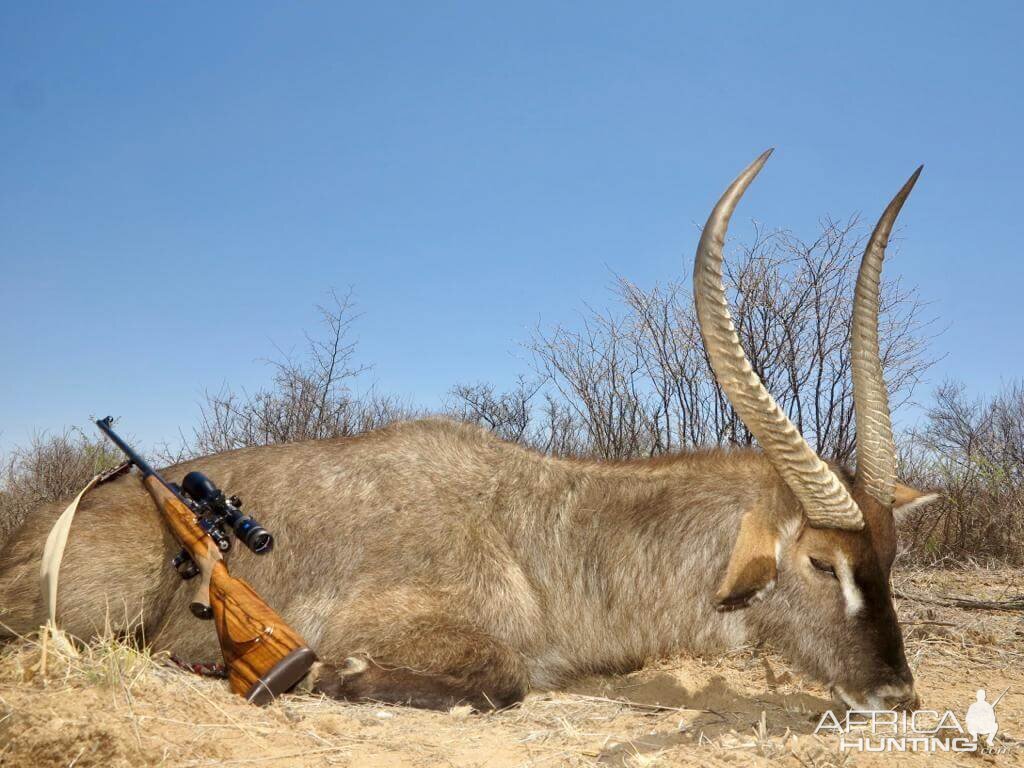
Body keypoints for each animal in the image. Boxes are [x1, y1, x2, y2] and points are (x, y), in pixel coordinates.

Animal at [0, 153, 937, 712]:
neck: (544, 529)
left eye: (888, 562)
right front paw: (343, 675)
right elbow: (501, 677)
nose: (898, 695)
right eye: (821, 563)